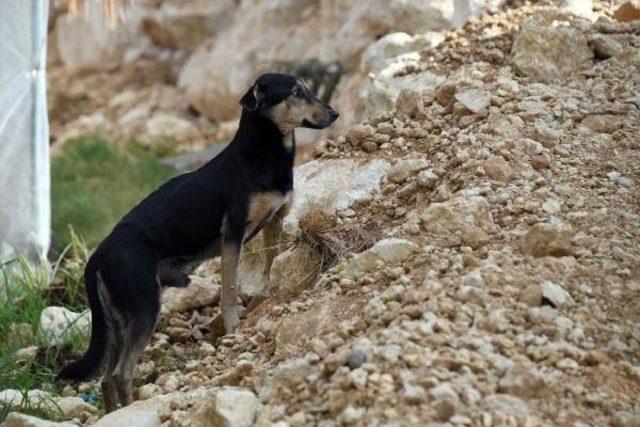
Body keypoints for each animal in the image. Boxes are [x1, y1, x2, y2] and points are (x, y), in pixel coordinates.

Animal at [58, 73, 340, 412]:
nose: (334, 114)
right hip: (143, 307)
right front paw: (233, 326)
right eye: (296, 92)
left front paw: (266, 297)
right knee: (119, 375)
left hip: (116, 321)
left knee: (105, 379)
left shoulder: (274, 221)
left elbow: (270, 265)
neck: (263, 155)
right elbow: (229, 289)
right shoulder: (232, 234)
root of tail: (98, 254)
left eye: (307, 88)